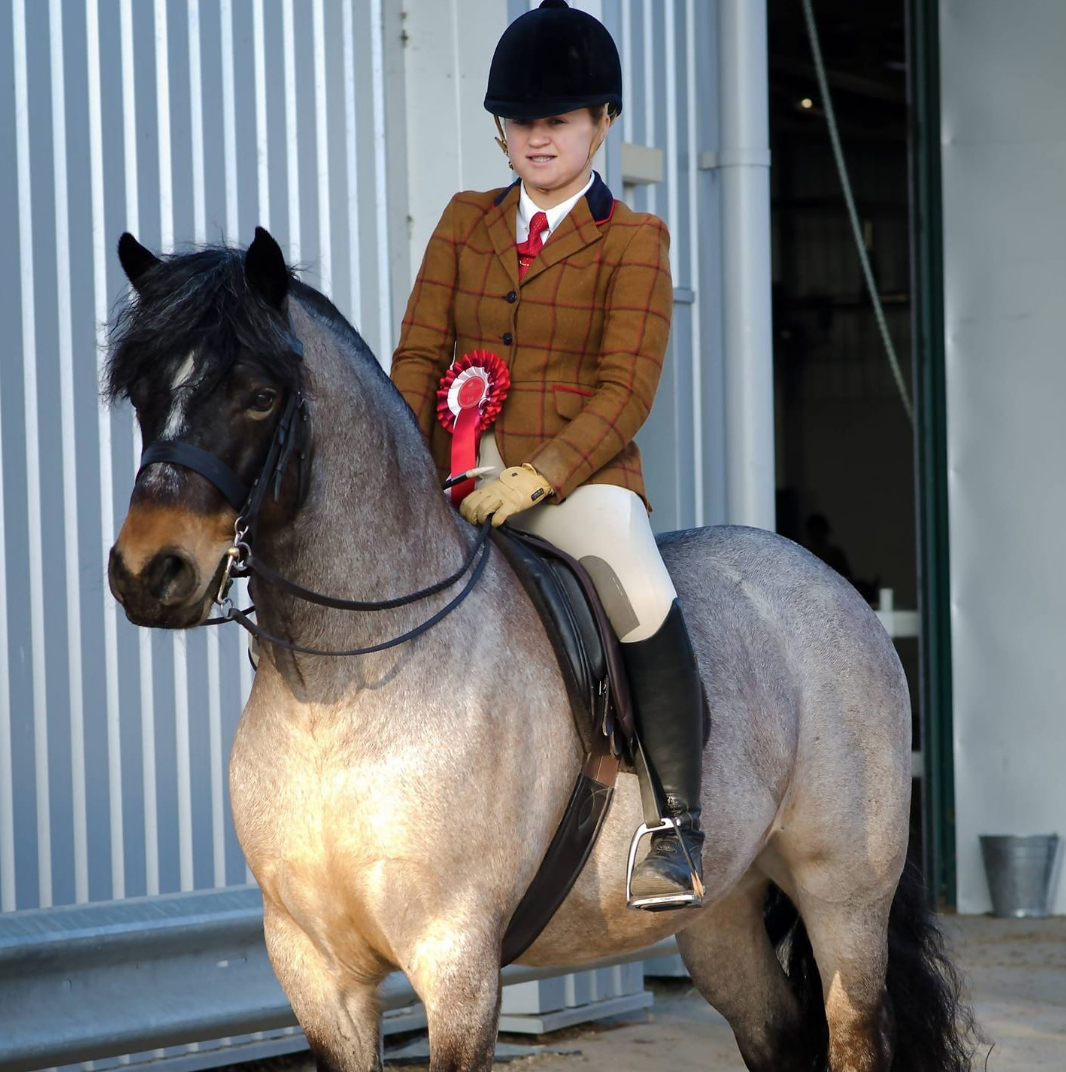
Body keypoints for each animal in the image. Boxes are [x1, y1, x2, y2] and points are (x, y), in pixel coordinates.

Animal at [105, 227, 976, 1072]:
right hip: (723, 911)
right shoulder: (313, 970)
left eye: (259, 396)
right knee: (776, 1035)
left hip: (843, 901)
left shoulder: (455, 959)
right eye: (141, 393)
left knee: (852, 1030)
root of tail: (827, 582)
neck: (343, 688)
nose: (149, 574)